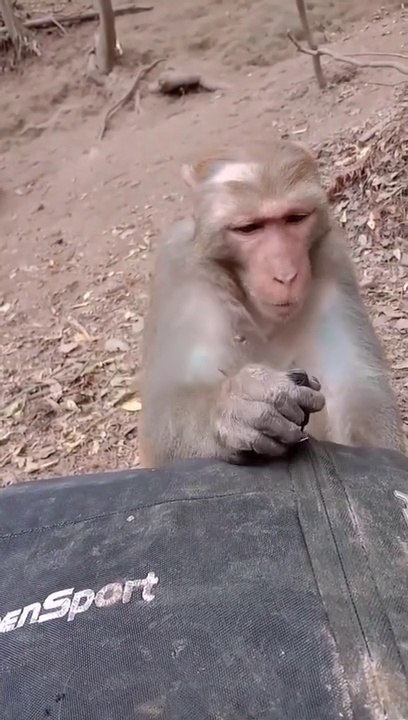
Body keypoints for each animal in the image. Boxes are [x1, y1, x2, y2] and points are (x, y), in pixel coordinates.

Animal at [139, 139, 403, 467]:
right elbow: (161, 426)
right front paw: (238, 403)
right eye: (249, 228)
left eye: (295, 218)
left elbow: (358, 391)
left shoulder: (332, 261)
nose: (286, 275)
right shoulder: (180, 270)